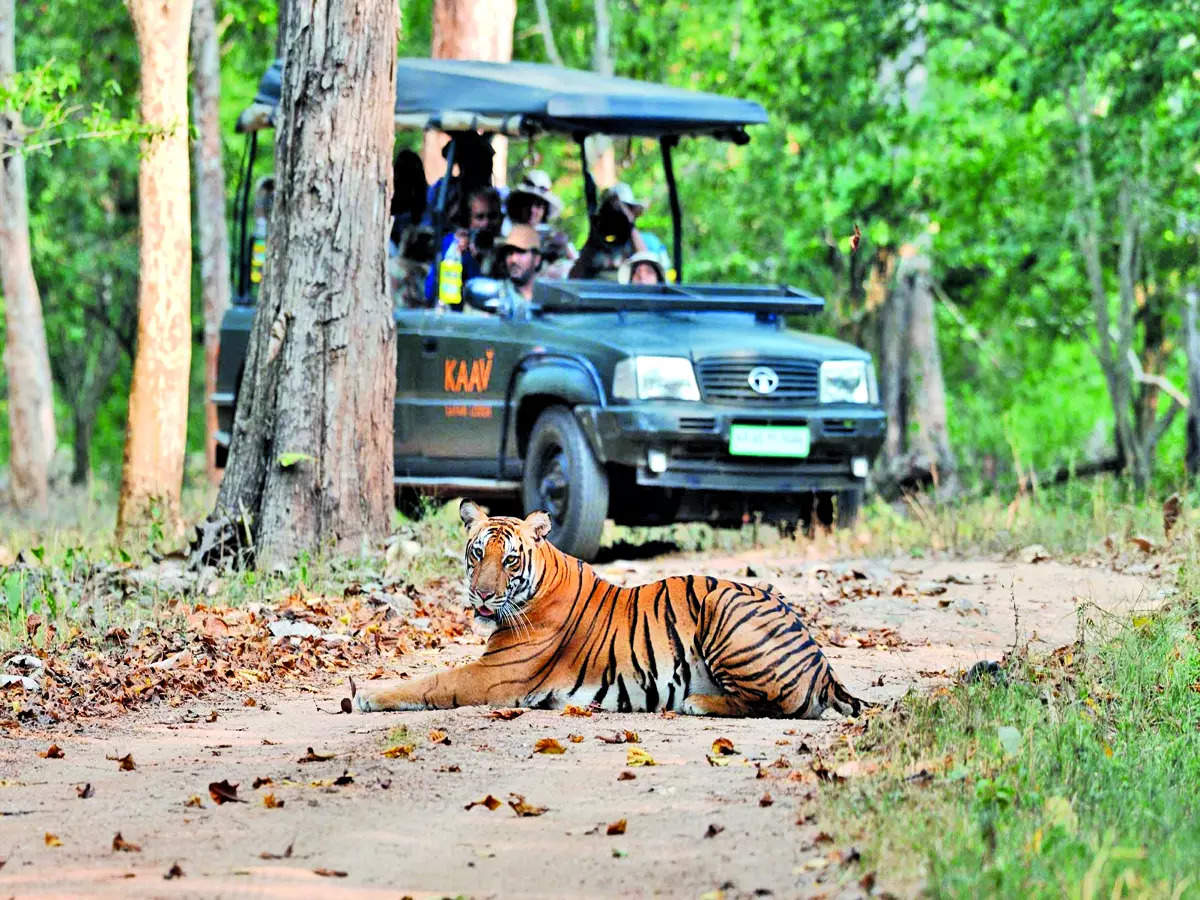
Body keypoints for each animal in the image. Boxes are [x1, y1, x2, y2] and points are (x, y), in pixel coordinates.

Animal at [350, 501, 868, 720]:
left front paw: (368, 695)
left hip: (725, 608)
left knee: (779, 706)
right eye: (477, 554)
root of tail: (823, 665)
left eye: (510, 560)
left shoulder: (493, 675)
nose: (480, 595)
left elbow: (430, 682)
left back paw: (698, 703)